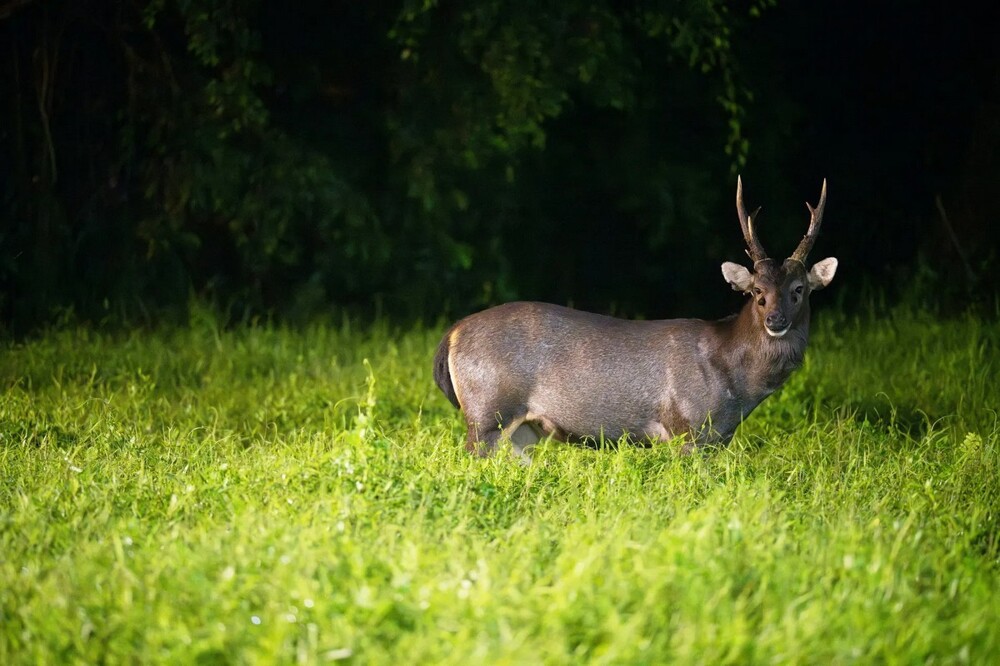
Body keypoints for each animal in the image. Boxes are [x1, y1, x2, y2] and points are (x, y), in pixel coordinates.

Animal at [430, 176, 836, 460]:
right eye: (756, 293)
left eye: (799, 289)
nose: (776, 320)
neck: (735, 382)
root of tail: (452, 334)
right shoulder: (689, 427)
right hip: (487, 409)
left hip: (522, 428)